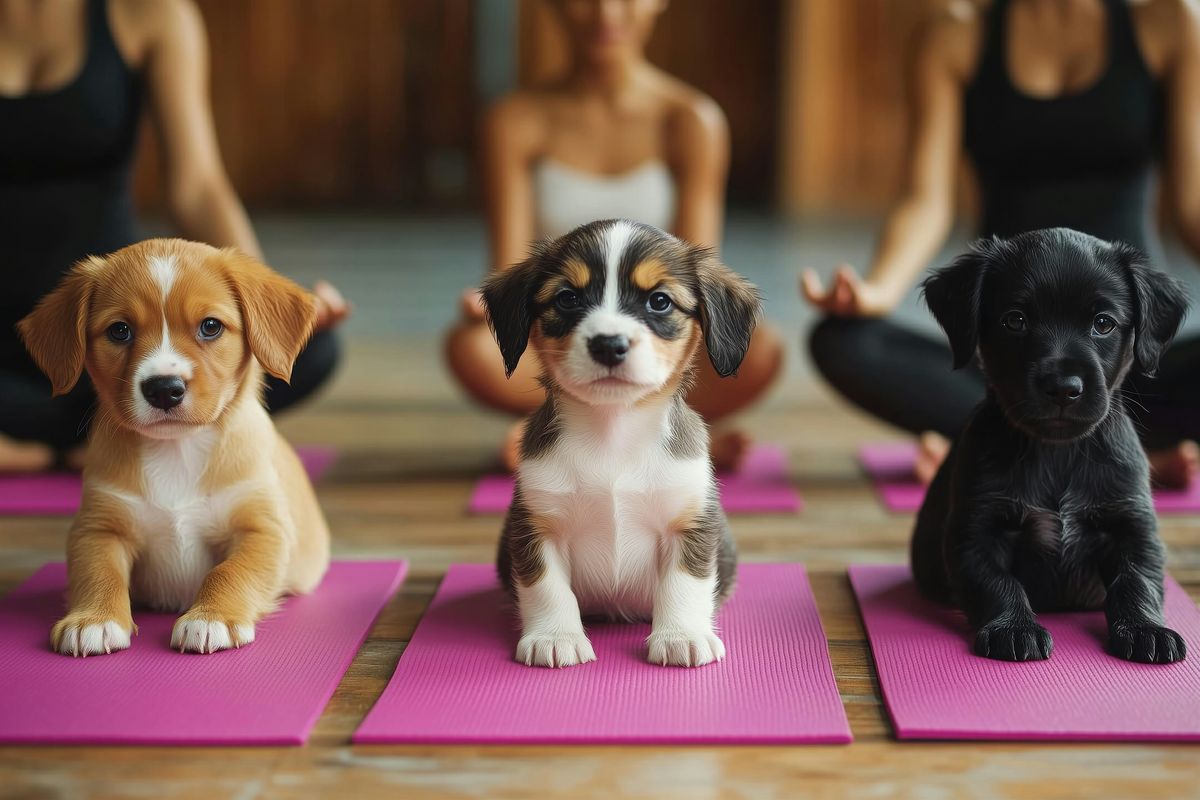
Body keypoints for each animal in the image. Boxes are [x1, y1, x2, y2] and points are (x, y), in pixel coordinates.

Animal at [19, 241, 328, 662]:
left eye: (211, 326)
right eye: (119, 330)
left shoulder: (263, 529)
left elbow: (230, 571)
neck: (177, 450)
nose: (164, 388)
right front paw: (93, 620)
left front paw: (211, 617)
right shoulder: (98, 527)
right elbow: (98, 572)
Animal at [480, 219, 753, 671]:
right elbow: (546, 587)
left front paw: (681, 635)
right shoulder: (537, 525)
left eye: (659, 301)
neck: (613, 437)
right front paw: (555, 636)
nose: (608, 344)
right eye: (568, 298)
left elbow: (685, 583)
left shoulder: (690, 524)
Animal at [912, 225, 1185, 662]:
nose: (1063, 387)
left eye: (1103, 323)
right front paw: (1014, 628)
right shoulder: (975, 533)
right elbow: (998, 584)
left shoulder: (1133, 527)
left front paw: (1147, 629)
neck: (1057, 452)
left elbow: (1137, 582)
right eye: (1015, 320)